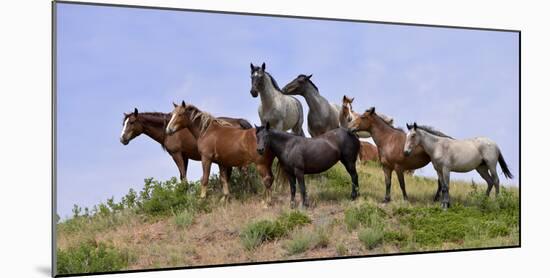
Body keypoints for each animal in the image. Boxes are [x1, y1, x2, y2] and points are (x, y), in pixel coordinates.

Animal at [119, 107, 253, 181]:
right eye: (124, 123)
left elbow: (183, 176)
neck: (169, 131)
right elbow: (182, 176)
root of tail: (239, 121)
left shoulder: (176, 154)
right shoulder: (185, 157)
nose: (122, 138)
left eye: (131, 122)